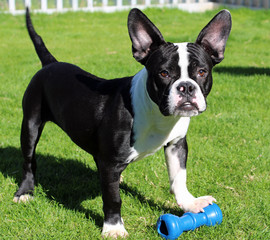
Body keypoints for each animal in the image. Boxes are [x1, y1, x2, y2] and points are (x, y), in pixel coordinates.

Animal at [14, 7, 230, 238]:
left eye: (201, 72)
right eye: (163, 73)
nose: (186, 87)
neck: (157, 114)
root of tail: (51, 63)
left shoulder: (177, 145)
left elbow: (179, 177)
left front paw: (191, 204)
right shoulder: (110, 163)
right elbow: (113, 198)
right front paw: (113, 228)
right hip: (30, 125)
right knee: (28, 160)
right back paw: (25, 192)